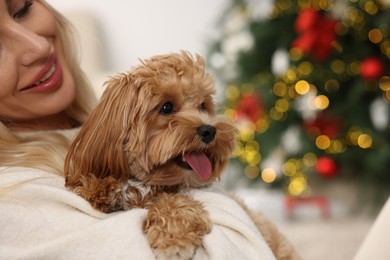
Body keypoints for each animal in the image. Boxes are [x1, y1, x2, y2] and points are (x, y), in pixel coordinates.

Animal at [64, 51, 238, 258]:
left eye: (203, 105)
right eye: (166, 107)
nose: (209, 130)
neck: (146, 183)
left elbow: (175, 204)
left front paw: (173, 239)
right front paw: (100, 187)